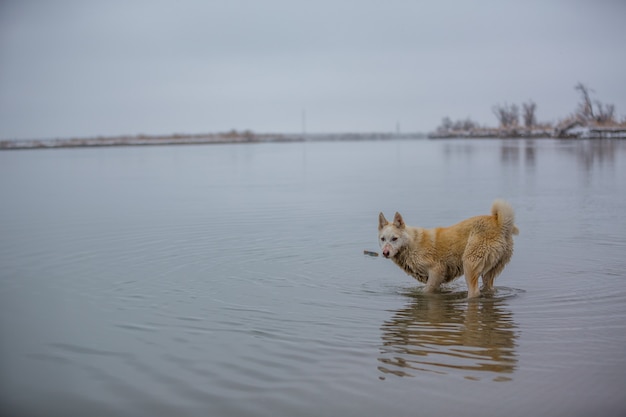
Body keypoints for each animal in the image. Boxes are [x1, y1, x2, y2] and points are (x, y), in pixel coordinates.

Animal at [376, 200, 516, 298]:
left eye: (394, 238)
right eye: (383, 239)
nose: (385, 253)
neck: (411, 244)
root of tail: (500, 224)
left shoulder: (437, 270)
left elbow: (426, 292)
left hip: (469, 264)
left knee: (475, 293)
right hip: (489, 272)